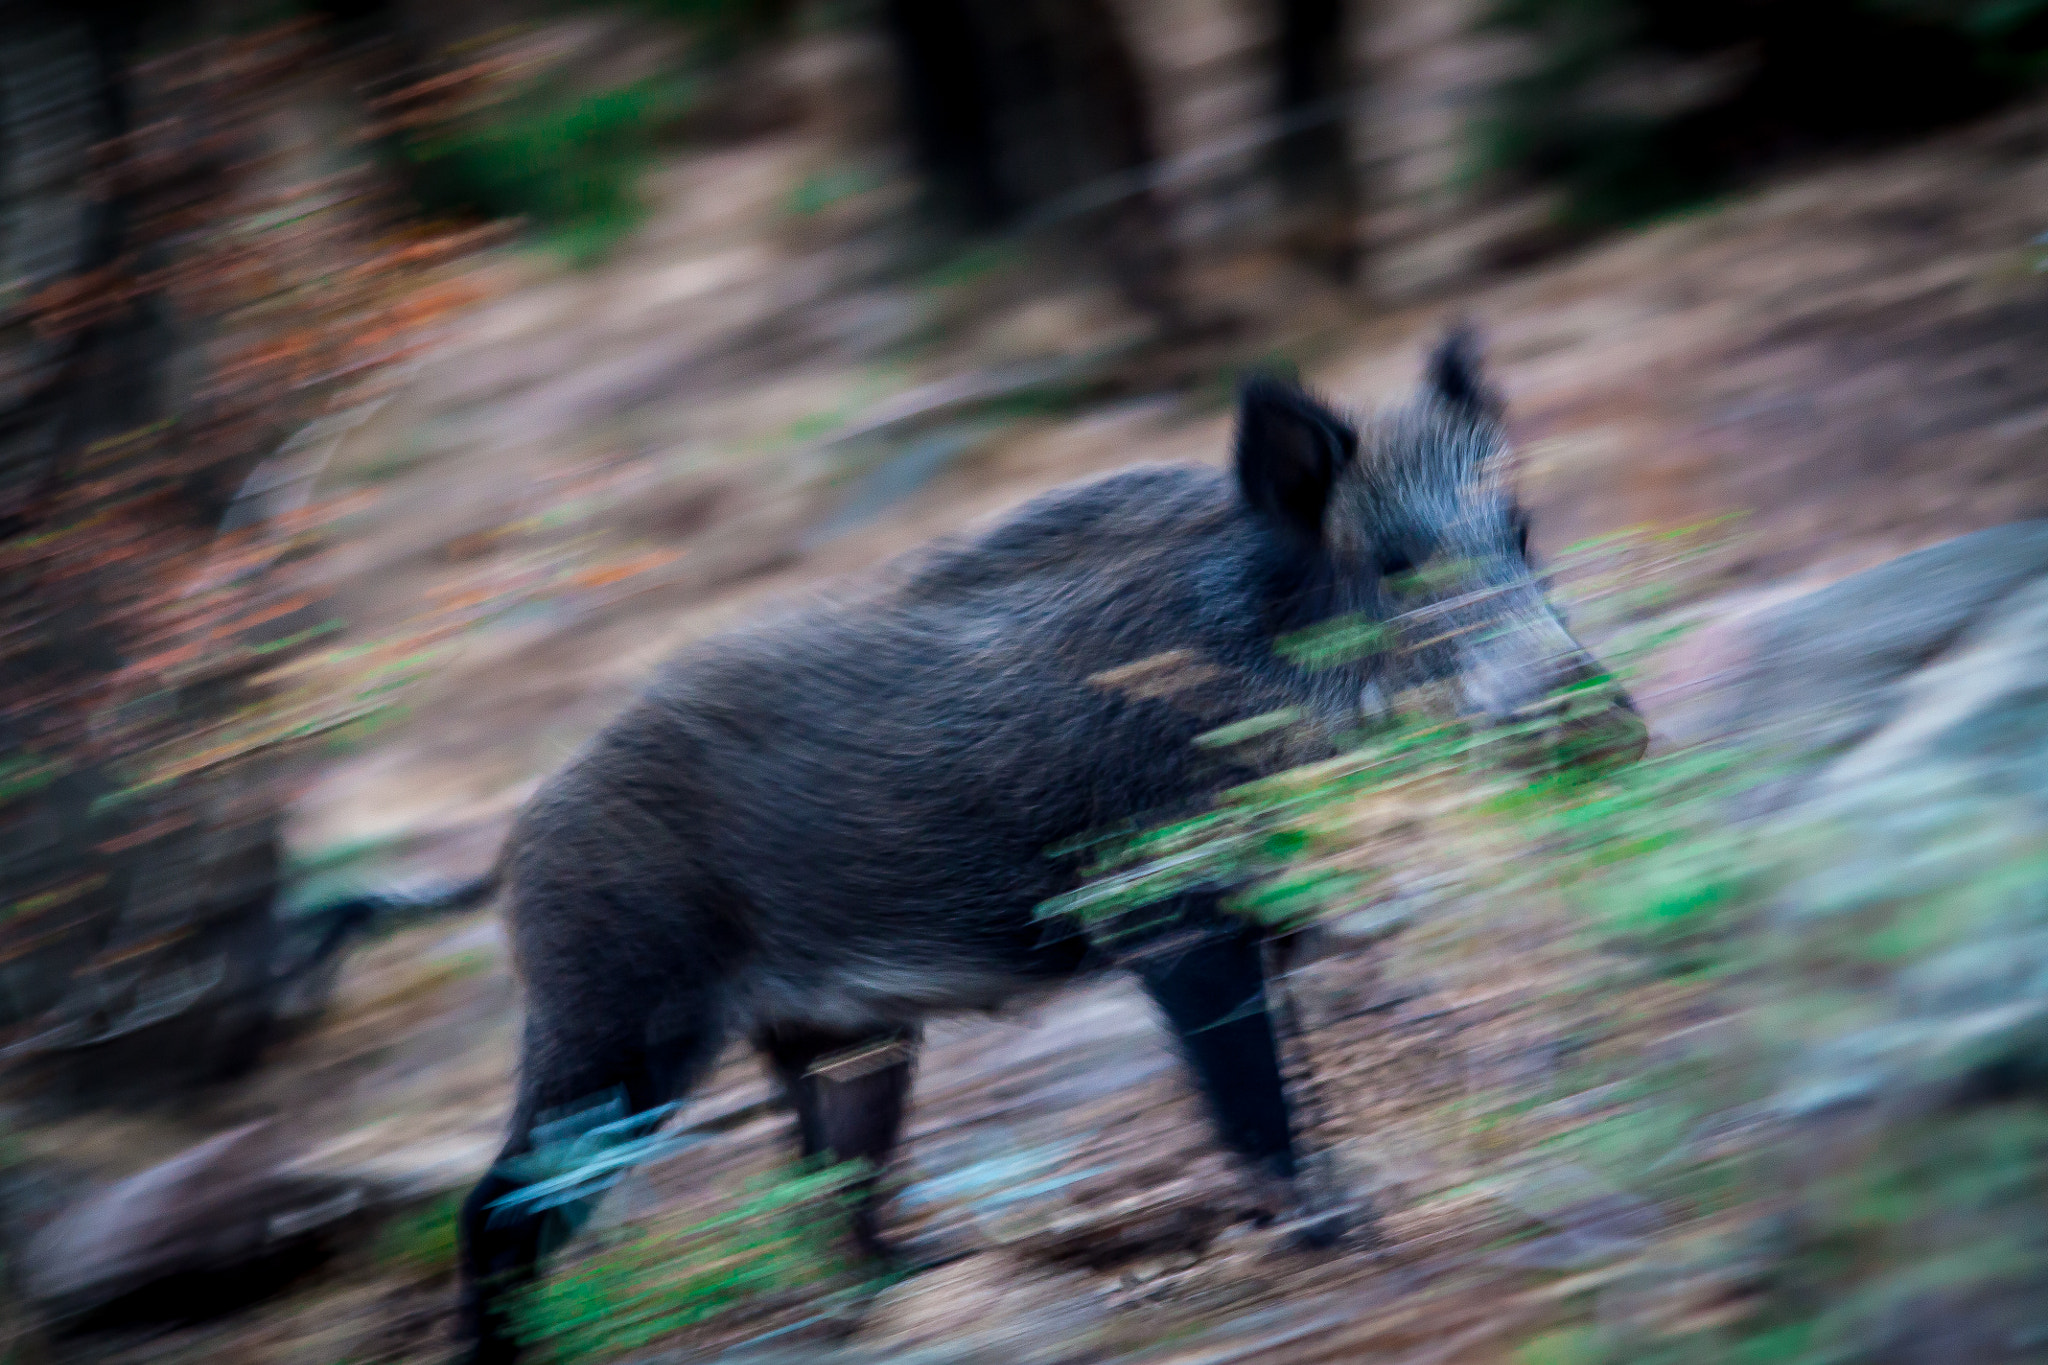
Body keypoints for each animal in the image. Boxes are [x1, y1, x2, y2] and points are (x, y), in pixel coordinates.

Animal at [456, 330, 1646, 1362]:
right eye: (1395, 567)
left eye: (1521, 534)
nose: (1605, 725)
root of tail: (519, 841)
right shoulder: (1169, 918)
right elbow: (1251, 1099)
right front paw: (1337, 1234)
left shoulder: (1275, 918)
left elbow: (1299, 1080)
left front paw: (1352, 1211)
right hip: (615, 1020)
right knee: (497, 1202)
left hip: (840, 1036)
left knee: (822, 1186)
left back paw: (914, 1282)